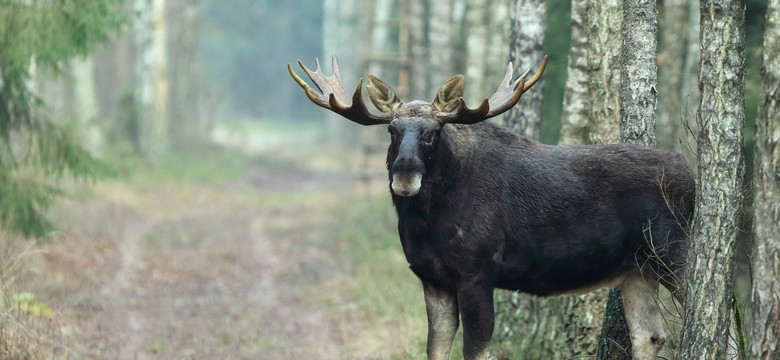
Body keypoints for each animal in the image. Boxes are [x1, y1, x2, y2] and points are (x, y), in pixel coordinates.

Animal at [288, 56, 696, 360]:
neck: (427, 224)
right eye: (392, 130)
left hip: (676, 255)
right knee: (651, 336)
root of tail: (694, 175)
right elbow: (436, 349)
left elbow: (475, 350)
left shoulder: (477, 274)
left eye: (432, 133)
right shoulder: (432, 278)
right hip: (637, 271)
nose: (405, 175)